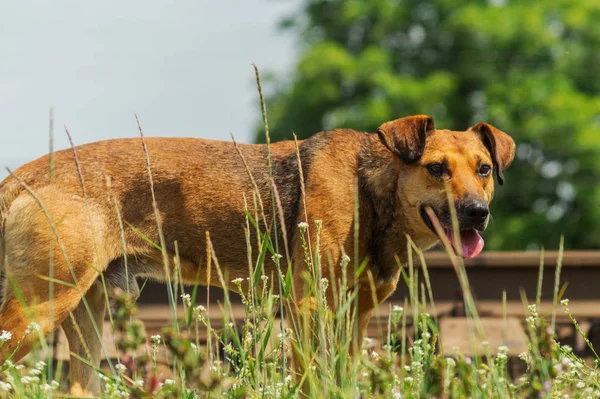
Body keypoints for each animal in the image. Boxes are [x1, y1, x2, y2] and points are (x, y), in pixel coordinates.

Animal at [0, 115, 516, 396]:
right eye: (436, 169)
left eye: (484, 170)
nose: (477, 213)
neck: (371, 189)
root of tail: (22, 175)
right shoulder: (309, 308)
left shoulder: (355, 316)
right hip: (37, 311)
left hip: (86, 313)